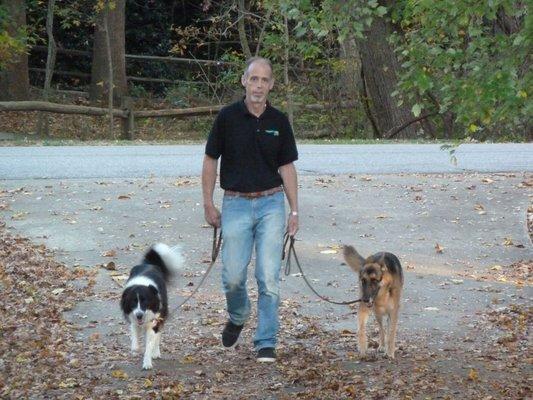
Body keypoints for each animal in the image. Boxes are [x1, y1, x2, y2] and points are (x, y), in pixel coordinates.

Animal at [119, 242, 183, 370]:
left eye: (145, 301)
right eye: (133, 302)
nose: (139, 315)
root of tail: (150, 264)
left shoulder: (154, 321)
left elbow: (150, 344)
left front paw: (147, 362)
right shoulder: (134, 320)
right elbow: (135, 342)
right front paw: (136, 349)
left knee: (158, 335)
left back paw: (156, 352)